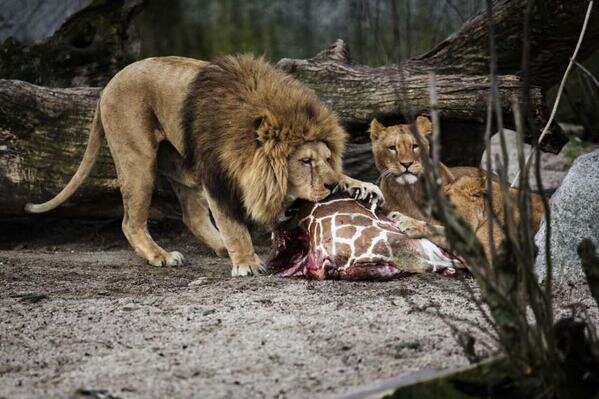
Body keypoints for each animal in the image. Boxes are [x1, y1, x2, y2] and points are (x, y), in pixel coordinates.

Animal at [27, 54, 380, 276]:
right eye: (305, 161)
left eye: (326, 159)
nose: (331, 186)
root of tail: (106, 87)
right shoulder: (217, 177)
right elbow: (233, 224)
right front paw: (246, 262)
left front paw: (361, 186)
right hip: (138, 160)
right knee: (131, 221)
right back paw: (162, 255)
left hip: (182, 166)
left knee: (192, 216)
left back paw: (219, 247)